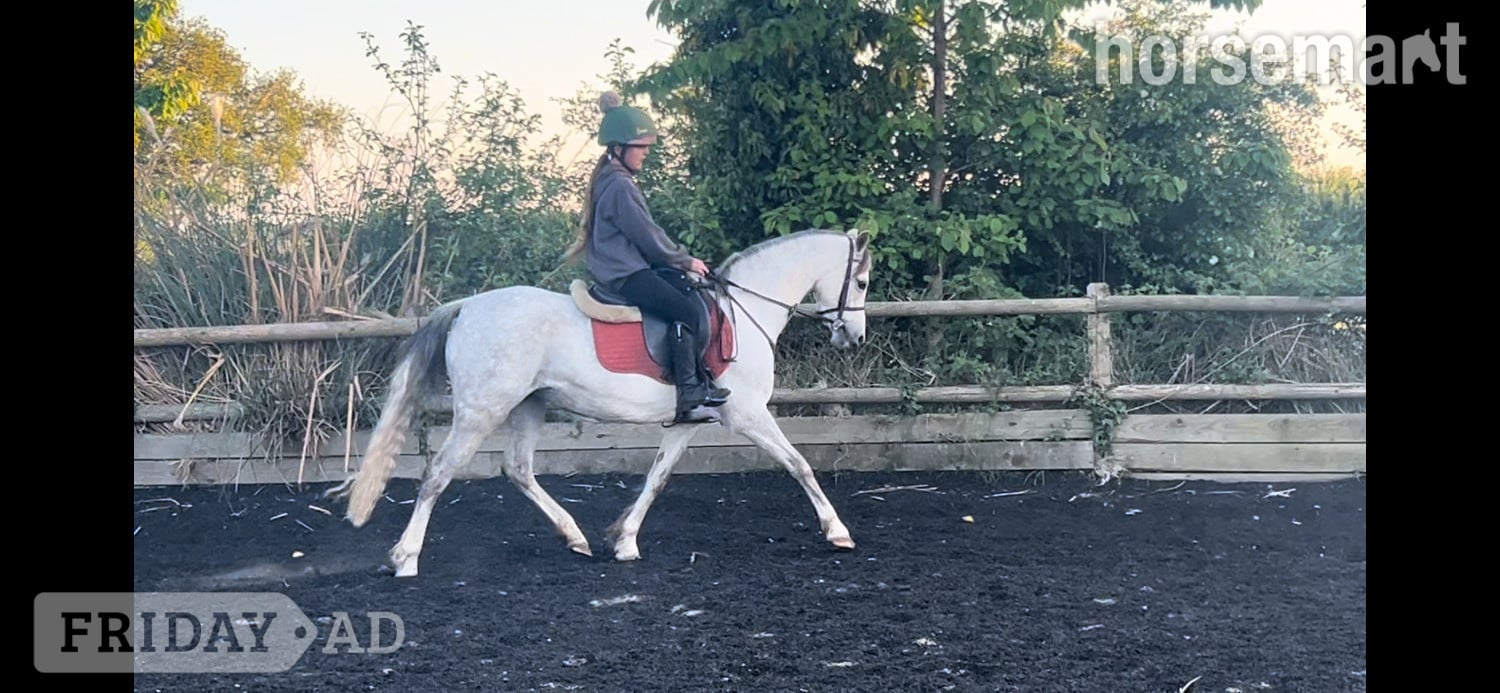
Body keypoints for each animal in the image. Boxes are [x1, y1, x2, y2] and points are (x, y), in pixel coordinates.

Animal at [327, 228, 875, 577]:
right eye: (863, 281)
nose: (855, 336)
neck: (742, 311)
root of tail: (466, 308)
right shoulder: (747, 415)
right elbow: (799, 464)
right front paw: (838, 531)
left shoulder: (688, 421)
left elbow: (657, 478)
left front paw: (625, 540)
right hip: (482, 412)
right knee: (438, 474)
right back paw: (406, 558)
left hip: (528, 406)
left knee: (518, 469)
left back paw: (575, 537)